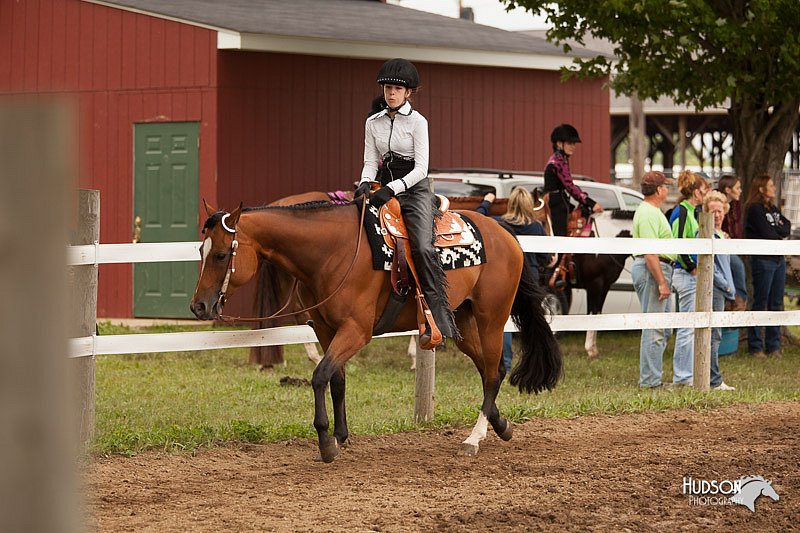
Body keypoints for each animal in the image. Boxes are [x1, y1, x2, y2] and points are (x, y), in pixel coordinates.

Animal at [191, 197, 564, 460]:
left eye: (222, 254)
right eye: (200, 249)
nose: (199, 306)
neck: (331, 252)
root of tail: (507, 235)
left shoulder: (357, 330)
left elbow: (320, 376)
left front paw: (326, 441)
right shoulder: (326, 329)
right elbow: (337, 378)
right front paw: (340, 436)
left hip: (492, 318)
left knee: (491, 372)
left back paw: (473, 438)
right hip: (463, 321)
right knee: (491, 370)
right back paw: (500, 426)